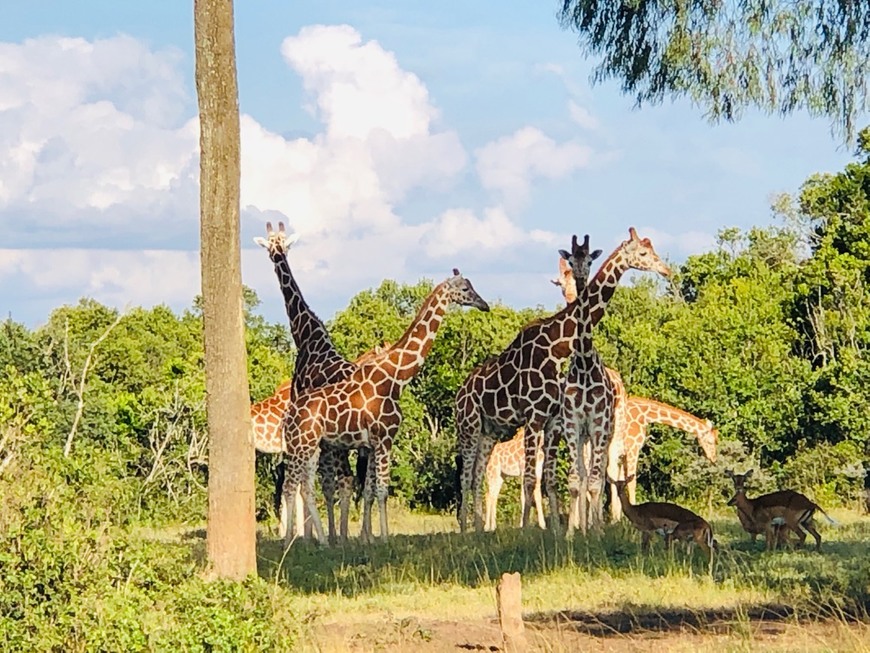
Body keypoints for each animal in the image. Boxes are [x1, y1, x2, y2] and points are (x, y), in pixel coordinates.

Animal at [255, 222, 384, 544]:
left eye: (277, 245)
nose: (276, 254)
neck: (306, 334)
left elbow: (306, 482)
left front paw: (305, 536)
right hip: (365, 443)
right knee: (365, 481)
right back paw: (364, 536)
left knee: (347, 479)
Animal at [282, 268, 490, 544]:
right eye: (465, 289)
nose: (484, 305)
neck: (395, 378)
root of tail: (290, 414)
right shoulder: (384, 438)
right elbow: (382, 490)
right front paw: (385, 538)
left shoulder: (372, 444)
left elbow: (371, 490)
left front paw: (370, 539)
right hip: (300, 445)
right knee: (290, 485)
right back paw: (289, 542)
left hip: (312, 446)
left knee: (303, 486)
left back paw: (321, 541)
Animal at [456, 232, 608, 532]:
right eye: (571, 261)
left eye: (590, 260)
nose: (581, 278)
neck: (556, 346)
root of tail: (458, 395)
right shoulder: (535, 418)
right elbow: (531, 481)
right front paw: (529, 530)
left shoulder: (555, 422)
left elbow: (550, 479)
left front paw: (559, 530)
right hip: (468, 428)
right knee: (467, 477)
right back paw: (466, 530)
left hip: (488, 432)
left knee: (477, 476)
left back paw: (479, 528)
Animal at [544, 227, 676, 532]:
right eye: (571, 260)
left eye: (589, 260)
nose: (666, 270)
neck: (583, 361)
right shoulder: (573, 424)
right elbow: (576, 480)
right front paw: (572, 532)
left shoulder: (599, 424)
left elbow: (595, 481)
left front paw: (596, 530)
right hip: (579, 434)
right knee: (579, 474)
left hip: (612, 432)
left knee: (608, 470)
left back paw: (609, 521)